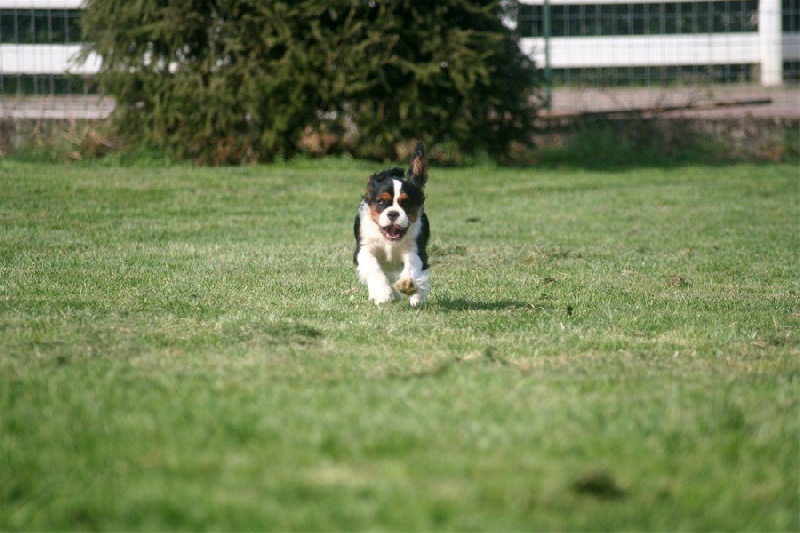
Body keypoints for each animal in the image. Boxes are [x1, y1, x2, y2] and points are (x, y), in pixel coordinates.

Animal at [354, 143, 432, 306]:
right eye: (380, 202)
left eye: (406, 204)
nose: (393, 213)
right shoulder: (364, 248)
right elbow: (374, 268)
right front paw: (382, 294)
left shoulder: (415, 249)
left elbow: (412, 267)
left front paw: (408, 284)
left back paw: (416, 296)